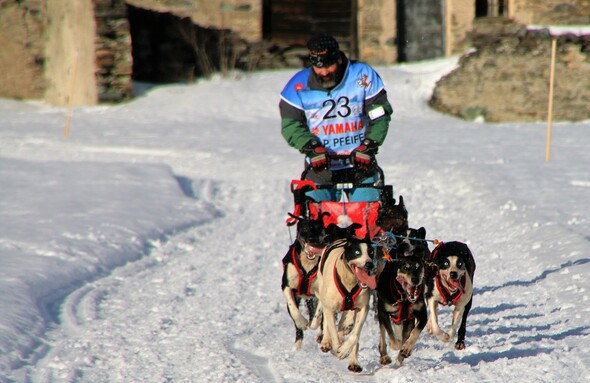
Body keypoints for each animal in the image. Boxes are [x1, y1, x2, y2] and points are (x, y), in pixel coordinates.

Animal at [314, 224, 380, 374]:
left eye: (371, 252)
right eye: (357, 252)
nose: (369, 264)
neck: (350, 280)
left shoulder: (362, 308)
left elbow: (355, 336)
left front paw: (345, 350)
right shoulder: (330, 308)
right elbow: (332, 330)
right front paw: (336, 347)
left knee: (345, 323)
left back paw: (353, 361)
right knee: (328, 323)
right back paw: (326, 341)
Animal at [380, 228, 430, 366]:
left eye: (419, 267)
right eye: (405, 267)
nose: (415, 280)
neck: (404, 299)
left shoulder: (421, 315)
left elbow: (414, 333)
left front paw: (406, 349)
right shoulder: (383, 312)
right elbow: (391, 334)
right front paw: (396, 345)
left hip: (408, 321)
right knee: (383, 335)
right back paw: (385, 355)